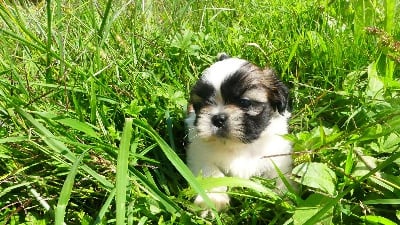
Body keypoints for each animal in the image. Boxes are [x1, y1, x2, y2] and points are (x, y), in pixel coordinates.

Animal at [186, 53, 292, 216]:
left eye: (245, 102)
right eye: (202, 104)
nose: (218, 118)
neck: (239, 145)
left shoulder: (277, 154)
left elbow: (279, 175)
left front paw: (285, 199)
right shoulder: (200, 154)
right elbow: (212, 173)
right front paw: (213, 199)